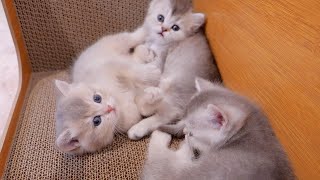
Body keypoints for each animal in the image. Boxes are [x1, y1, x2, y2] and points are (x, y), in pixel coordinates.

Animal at [127, 0, 220, 140]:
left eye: (175, 27)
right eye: (160, 18)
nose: (163, 29)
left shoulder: (160, 61)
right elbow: (139, 49)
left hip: (173, 85)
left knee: (167, 113)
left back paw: (139, 125)